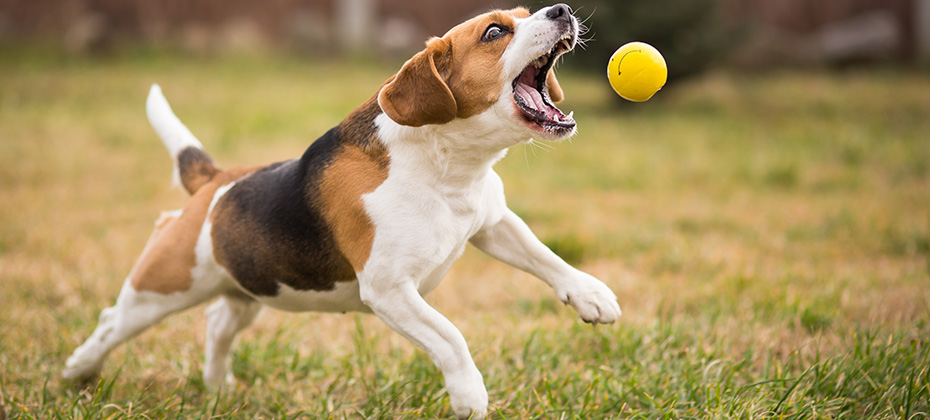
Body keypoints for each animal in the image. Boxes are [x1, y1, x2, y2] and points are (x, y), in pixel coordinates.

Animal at [61, 3, 620, 416]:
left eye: (527, 13)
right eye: (495, 32)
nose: (562, 9)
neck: (447, 166)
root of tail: (216, 182)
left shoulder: (493, 223)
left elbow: (546, 257)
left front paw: (591, 295)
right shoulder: (390, 291)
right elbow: (452, 337)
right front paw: (470, 397)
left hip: (248, 287)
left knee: (219, 322)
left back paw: (217, 387)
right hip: (162, 287)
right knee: (112, 321)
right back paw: (78, 372)